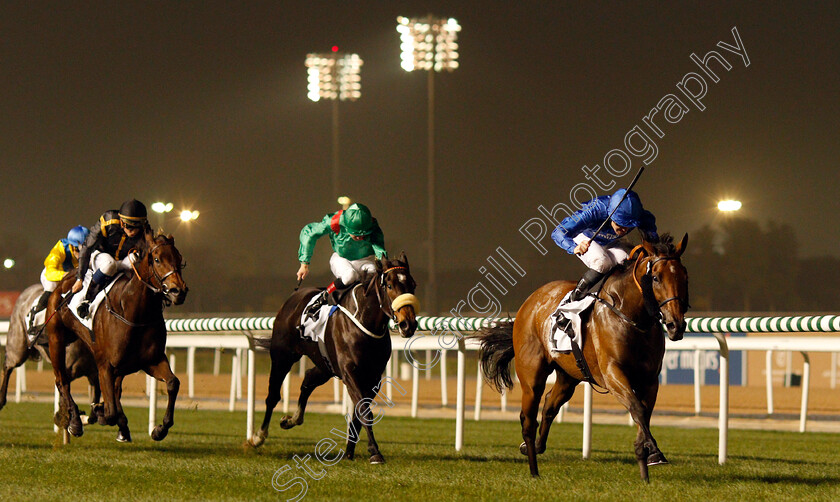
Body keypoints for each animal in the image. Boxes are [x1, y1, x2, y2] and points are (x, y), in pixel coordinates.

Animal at [46, 229, 188, 442]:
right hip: (56, 338)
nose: (178, 291)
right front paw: (92, 414)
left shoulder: (151, 360)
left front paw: (159, 429)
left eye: (179, 258)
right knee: (62, 381)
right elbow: (110, 411)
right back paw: (75, 421)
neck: (133, 313)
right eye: (157, 259)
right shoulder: (105, 365)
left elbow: (173, 383)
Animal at [249, 253, 420, 464]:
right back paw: (258, 437)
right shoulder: (349, 372)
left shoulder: (373, 377)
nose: (408, 324)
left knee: (307, 380)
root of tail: (293, 298)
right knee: (273, 395)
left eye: (412, 284)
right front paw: (375, 452)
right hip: (282, 356)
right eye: (389, 285)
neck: (363, 320)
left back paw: (291, 420)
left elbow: (358, 413)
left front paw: (350, 452)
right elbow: (364, 411)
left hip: (325, 365)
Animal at [472, 233, 688, 480]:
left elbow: (644, 412)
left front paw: (649, 455)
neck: (631, 317)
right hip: (531, 376)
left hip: (569, 374)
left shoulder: (650, 379)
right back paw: (534, 470)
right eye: (655, 278)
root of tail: (530, 301)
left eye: (684, 276)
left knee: (550, 404)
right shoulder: (613, 374)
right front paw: (652, 450)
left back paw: (534, 446)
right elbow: (638, 409)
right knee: (528, 419)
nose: (676, 325)